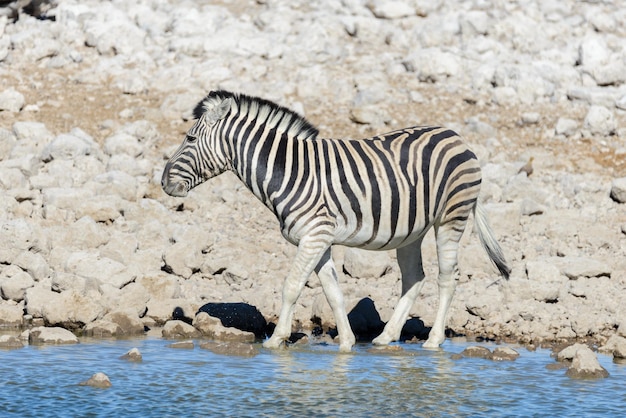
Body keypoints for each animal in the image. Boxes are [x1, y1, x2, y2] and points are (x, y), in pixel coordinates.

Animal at [161, 90, 508, 352]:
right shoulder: (319, 239)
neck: (289, 172)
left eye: (189, 138)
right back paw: (385, 337)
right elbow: (333, 293)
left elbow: (291, 286)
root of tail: (455, 135)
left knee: (448, 277)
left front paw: (276, 340)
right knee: (414, 277)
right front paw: (347, 344)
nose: (163, 182)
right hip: (411, 231)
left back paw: (433, 341)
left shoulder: (314, 235)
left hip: (451, 218)